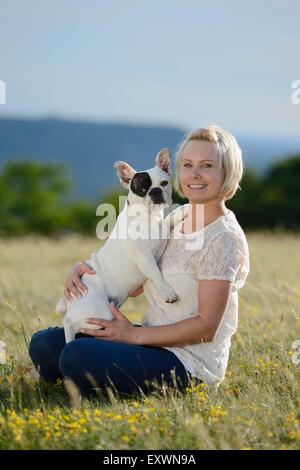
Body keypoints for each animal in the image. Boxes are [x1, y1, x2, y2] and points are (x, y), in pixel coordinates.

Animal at [54, 149, 184, 344]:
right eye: (142, 189)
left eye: (164, 183)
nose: (155, 191)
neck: (148, 218)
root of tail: (69, 304)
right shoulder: (144, 258)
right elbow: (156, 274)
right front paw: (168, 293)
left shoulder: (162, 226)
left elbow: (170, 219)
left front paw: (184, 211)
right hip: (99, 313)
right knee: (70, 322)